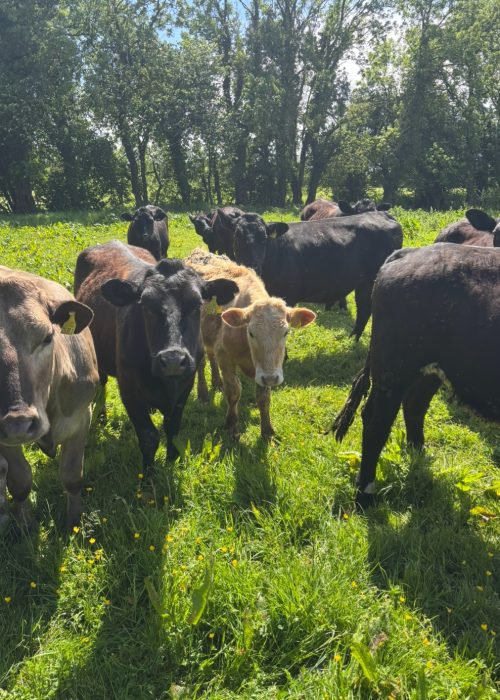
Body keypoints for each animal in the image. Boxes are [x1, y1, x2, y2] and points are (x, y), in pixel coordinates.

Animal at [0, 266, 98, 528]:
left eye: (47, 337)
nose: (18, 424)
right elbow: (20, 480)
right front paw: (25, 526)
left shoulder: (81, 417)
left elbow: (72, 475)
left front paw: (74, 523)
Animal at [74, 241, 238, 471]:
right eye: (145, 305)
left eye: (197, 305)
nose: (172, 361)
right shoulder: (128, 389)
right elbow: (149, 436)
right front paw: (149, 474)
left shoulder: (185, 384)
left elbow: (173, 428)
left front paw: (172, 460)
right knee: (101, 382)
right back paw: (101, 416)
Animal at [187, 250, 316, 440]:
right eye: (251, 332)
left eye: (286, 332)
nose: (272, 378)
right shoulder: (225, 357)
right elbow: (233, 392)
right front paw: (232, 426)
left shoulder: (263, 371)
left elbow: (263, 398)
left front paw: (267, 431)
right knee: (202, 364)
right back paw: (203, 393)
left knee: (211, 357)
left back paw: (216, 382)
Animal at [216, 209, 403, 340]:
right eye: (237, 238)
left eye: (264, 239)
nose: (252, 266)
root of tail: (384, 214)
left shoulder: (287, 296)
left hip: (369, 281)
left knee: (364, 308)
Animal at [331, 243, 500, 509]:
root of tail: (410, 252)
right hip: (394, 369)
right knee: (376, 421)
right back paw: (365, 494)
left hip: (428, 371)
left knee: (413, 406)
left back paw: (419, 456)